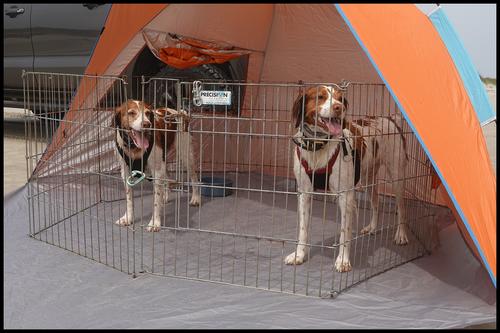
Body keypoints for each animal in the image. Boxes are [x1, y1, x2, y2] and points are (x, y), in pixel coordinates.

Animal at [114, 99, 200, 231]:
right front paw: (128, 218)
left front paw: (155, 222)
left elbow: (155, 200)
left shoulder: (156, 171)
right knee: (167, 178)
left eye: (148, 113)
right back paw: (165, 197)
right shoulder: (126, 172)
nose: (147, 124)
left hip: (185, 156)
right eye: (131, 113)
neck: (134, 148)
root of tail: (178, 112)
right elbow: (129, 199)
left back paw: (195, 198)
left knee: (194, 177)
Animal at [288, 85, 408, 272]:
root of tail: (389, 118)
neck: (318, 146)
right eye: (320, 96)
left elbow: (345, 233)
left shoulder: (346, 197)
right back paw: (372, 227)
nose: (339, 108)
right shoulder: (304, 194)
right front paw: (299, 255)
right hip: (367, 178)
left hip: (397, 178)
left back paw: (401, 234)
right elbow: (303, 230)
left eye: (340, 99)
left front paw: (343, 261)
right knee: (376, 202)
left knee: (402, 209)